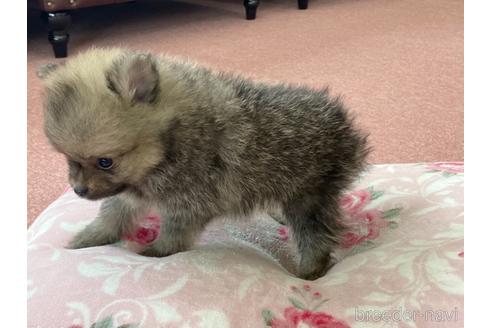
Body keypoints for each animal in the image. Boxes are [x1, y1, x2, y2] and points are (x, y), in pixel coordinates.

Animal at [38, 48, 368, 280]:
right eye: (68, 158)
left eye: (105, 161)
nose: (78, 190)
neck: (168, 145)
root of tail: (343, 122)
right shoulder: (130, 193)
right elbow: (112, 216)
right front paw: (88, 239)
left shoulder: (189, 202)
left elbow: (172, 237)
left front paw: (153, 254)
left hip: (309, 196)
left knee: (316, 238)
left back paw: (309, 272)